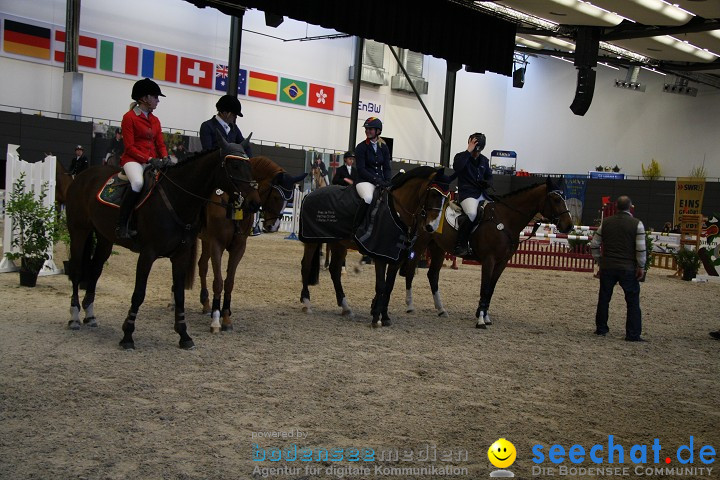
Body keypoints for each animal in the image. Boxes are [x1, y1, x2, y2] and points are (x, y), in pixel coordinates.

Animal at [64, 135, 262, 348]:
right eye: (235, 166)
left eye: (249, 165)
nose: (254, 203)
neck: (177, 198)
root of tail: (84, 175)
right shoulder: (148, 254)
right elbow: (139, 293)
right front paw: (128, 335)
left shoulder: (181, 255)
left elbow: (181, 294)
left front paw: (184, 335)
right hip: (78, 231)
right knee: (76, 270)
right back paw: (74, 317)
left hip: (105, 238)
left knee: (95, 269)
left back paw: (90, 315)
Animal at [198, 156, 308, 332]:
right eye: (276, 197)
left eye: (289, 201)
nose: (273, 226)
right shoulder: (217, 244)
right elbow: (218, 281)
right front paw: (215, 319)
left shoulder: (238, 247)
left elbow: (229, 282)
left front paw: (226, 316)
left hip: (206, 240)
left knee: (202, 265)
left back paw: (206, 304)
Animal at [300, 165, 450, 326]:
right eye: (434, 193)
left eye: (446, 198)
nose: (431, 227)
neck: (397, 210)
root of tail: (310, 194)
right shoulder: (380, 254)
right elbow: (381, 285)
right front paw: (376, 318)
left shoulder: (396, 257)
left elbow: (389, 286)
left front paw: (385, 317)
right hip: (312, 240)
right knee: (306, 266)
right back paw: (307, 303)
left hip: (338, 244)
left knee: (334, 271)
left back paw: (346, 307)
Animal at [400, 178, 572, 328]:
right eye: (556, 199)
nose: (569, 226)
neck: (505, 219)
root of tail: (423, 209)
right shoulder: (489, 260)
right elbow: (484, 287)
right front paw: (481, 320)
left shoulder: (502, 262)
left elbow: (491, 288)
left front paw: (485, 315)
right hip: (420, 244)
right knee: (411, 270)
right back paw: (410, 305)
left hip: (438, 247)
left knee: (433, 275)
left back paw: (441, 309)